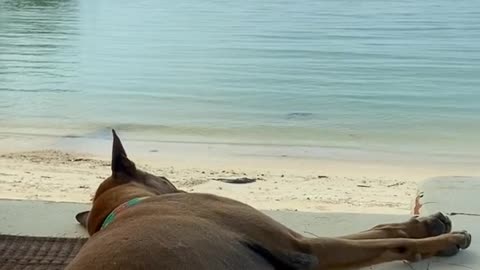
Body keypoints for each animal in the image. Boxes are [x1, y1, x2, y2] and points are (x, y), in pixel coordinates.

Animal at [65, 130, 470, 268]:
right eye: (165, 178)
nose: (178, 189)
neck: (127, 207)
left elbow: (378, 229)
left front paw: (428, 223)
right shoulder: (302, 247)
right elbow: (389, 242)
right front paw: (444, 239)